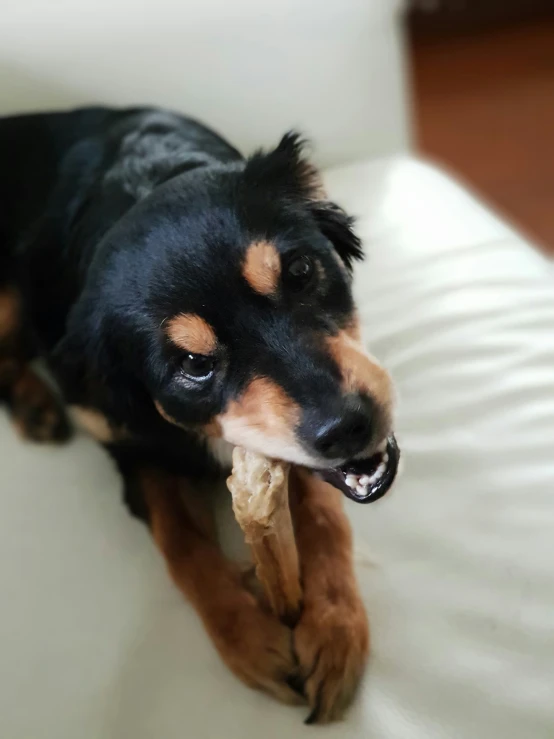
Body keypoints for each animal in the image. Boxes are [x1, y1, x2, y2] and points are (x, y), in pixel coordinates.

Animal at [0, 107, 396, 724]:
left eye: (301, 270)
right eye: (192, 365)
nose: (350, 426)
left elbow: (326, 515)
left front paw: (334, 625)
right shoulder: (136, 451)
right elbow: (182, 543)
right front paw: (248, 640)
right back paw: (35, 404)